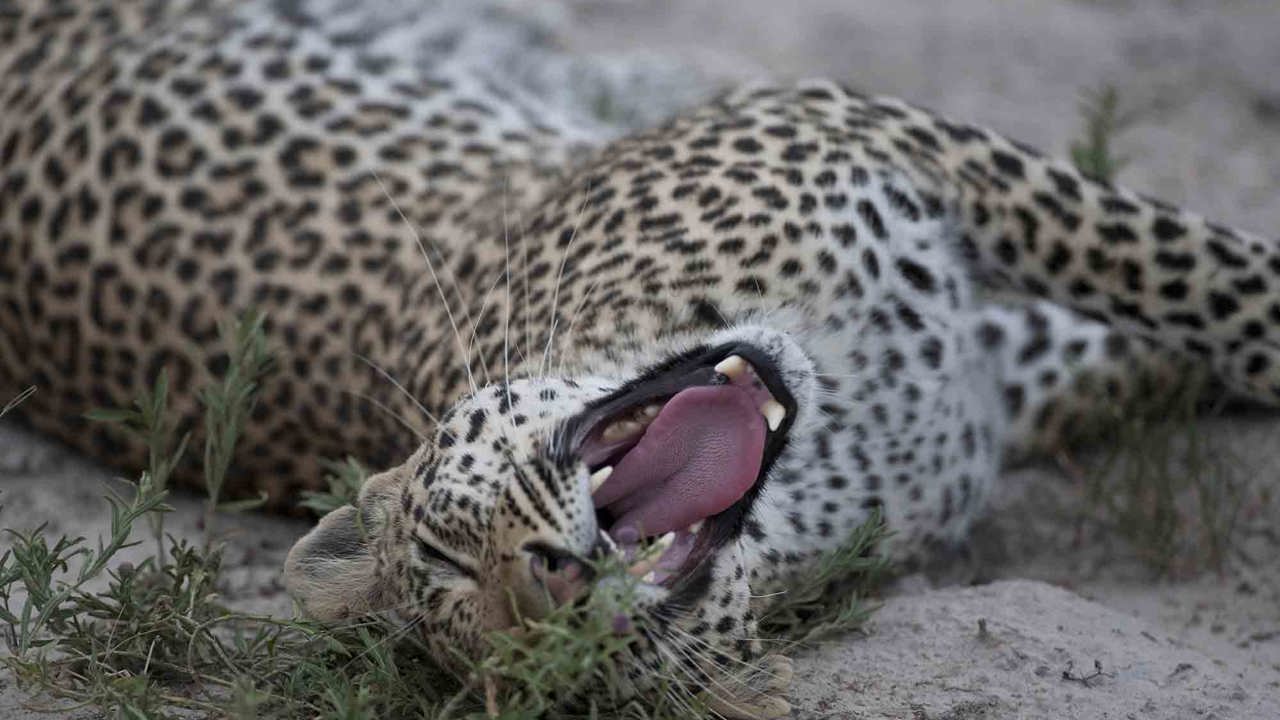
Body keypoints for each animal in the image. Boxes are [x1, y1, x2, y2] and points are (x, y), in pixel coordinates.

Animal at [3, 1, 1279, 716]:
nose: (555, 587)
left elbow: (1205, 280)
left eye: (447, 554)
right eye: (533, 656)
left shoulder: (932, 156)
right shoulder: (1015, 373)